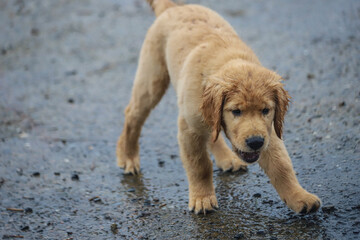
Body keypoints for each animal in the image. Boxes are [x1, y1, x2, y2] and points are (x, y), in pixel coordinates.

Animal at [116, 0, 322, 214]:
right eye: (236, 111)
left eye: (266, 110)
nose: (255, 142)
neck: (225, 61)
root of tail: (174, 7)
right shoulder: (189, 128)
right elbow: (200, 165)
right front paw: (203, 198)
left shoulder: (268, 130)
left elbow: (281, 165)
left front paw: (299, 197)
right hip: (152, 78)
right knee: (133, 114)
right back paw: (128, 157)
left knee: (212, 133)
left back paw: (226, 158)